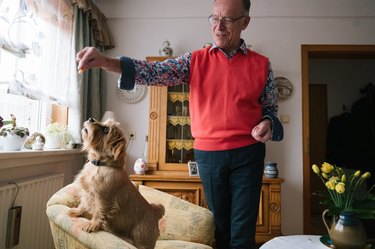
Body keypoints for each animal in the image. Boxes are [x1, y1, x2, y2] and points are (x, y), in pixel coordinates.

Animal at [68, 117, 164, 248]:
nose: (90, 118)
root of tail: (154, 211)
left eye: (106, 130)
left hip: (142, 242)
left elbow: (99, 212)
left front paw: (92, 225)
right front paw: (76, 211)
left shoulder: (102, 198)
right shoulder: (87, 193)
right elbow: (83, 204)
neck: (100, 165)